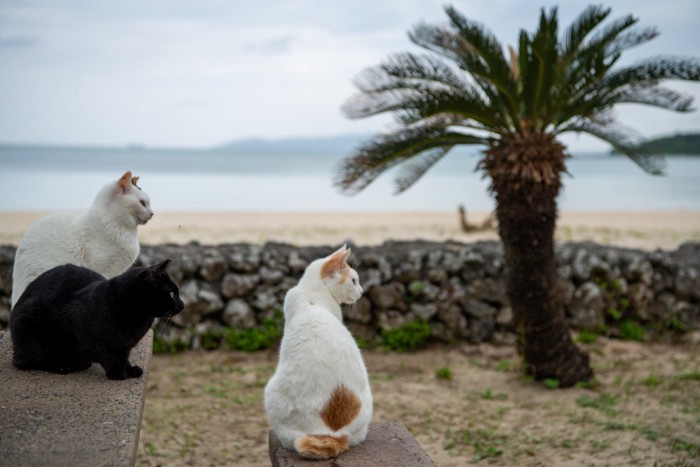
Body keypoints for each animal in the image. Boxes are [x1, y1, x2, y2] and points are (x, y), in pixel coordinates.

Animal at [10, 260, 183, 380]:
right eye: (172, 294)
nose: (183, 304)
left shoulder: (124, 346)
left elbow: (124, 357)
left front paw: (129, 369)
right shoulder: (89, 335)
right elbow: (107, 356)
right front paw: (117, 372)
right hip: (31, 318)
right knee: (26, 361)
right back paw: (61, 367)